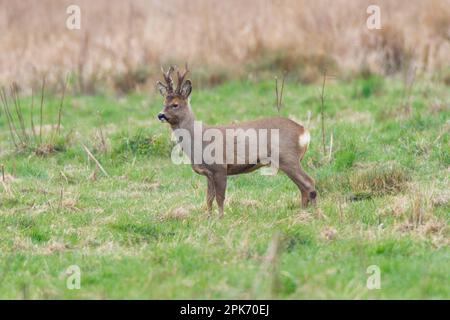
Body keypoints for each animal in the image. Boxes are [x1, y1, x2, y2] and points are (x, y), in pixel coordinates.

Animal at [156, 64, 314, 218]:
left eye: (175, 104)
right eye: (164, 102)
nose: (160, 115)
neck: (199, 140)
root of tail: (304, 132)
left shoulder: (220, 167)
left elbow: (220, 197)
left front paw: (220, 218)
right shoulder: (208, 173)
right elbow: (209, 198)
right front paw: (208, 218)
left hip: (287, 157)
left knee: (309, 183)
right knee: (303, 187)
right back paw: (303, 212)